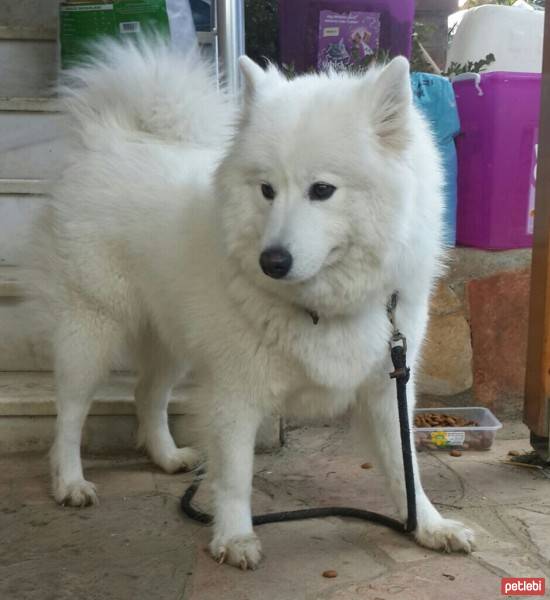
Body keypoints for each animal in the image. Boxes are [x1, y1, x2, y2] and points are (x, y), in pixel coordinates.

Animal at [30, 41, 476, 568]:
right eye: (267, 190)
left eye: (321, 190)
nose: (272, 261)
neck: (321, 307)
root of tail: (111, 137)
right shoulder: (235, 390)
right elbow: (236, 475)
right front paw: (234, 536)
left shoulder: (387, 384)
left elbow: (404, 467)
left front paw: (428, 525)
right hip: (92, 330)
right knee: (70, 413)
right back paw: (70, 481)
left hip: (170, 340)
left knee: (148, 395)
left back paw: (166, 456)